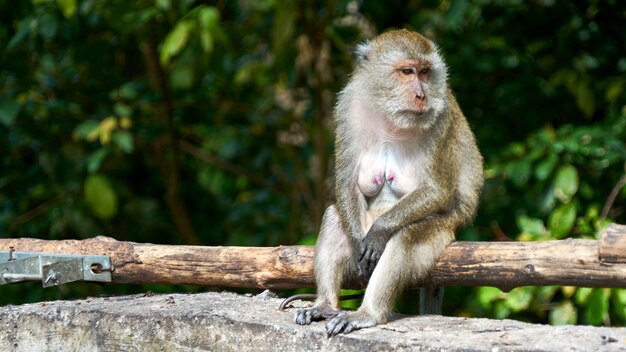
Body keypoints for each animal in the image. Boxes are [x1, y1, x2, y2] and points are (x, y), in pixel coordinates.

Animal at [292, 28, 482, 336]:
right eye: (407, 71)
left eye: (425, 72)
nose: (421, 94)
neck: (391, 118)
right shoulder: (348, 107)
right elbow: (346, 182)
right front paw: (359, 243)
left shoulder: (441, 120)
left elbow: (437, 191)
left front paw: (380, 231)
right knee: (334, 217)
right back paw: (324, 305)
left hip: (441, 230)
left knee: (405, 238)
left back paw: (368, 313)